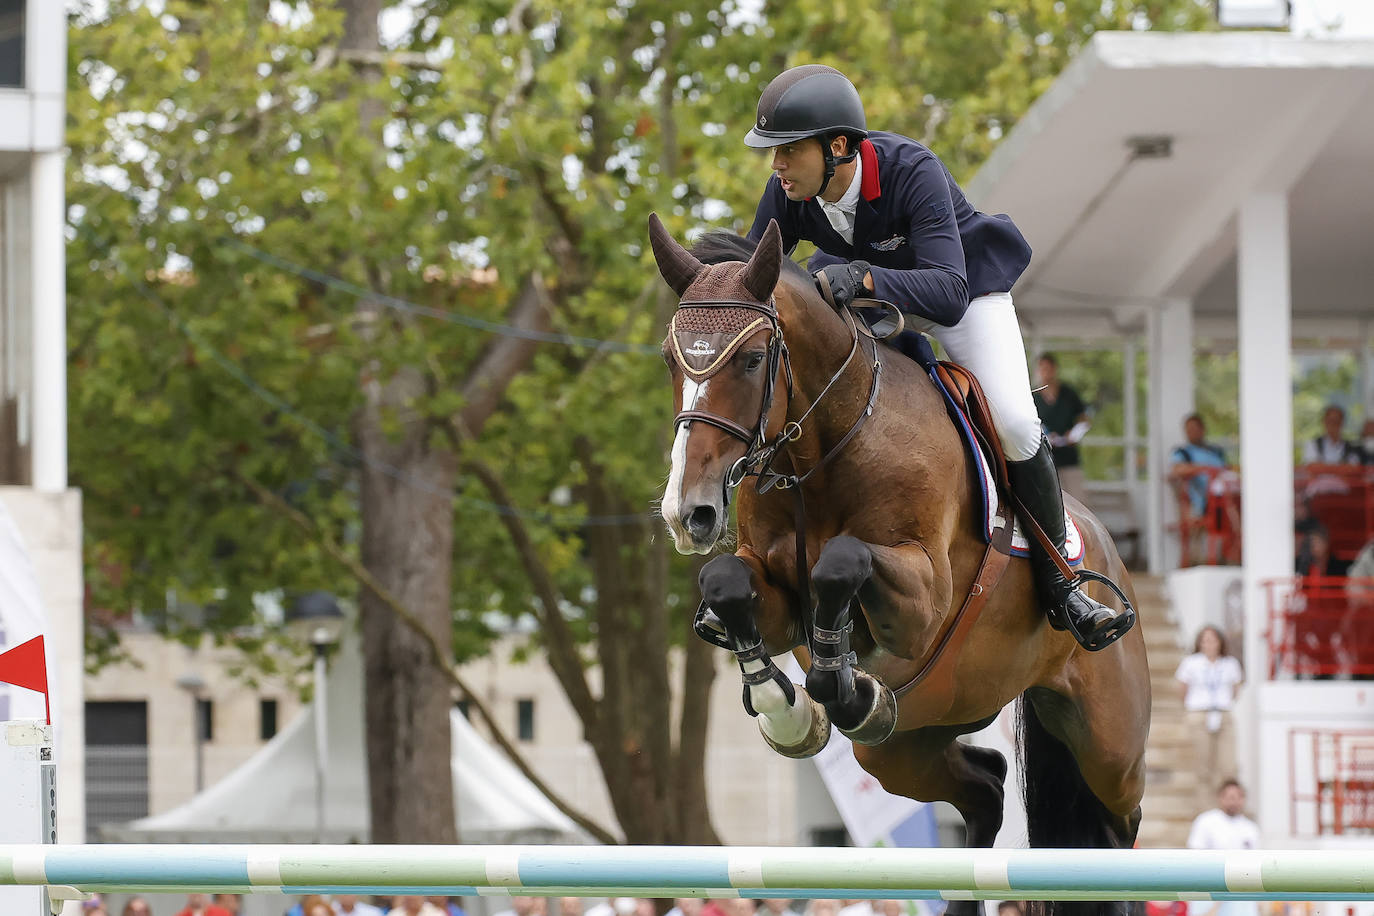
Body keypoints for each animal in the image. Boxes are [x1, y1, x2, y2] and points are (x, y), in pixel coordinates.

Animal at [648, 215, 1154, 916]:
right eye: (672, 360)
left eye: (750, 360)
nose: (687, 512)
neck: (824, 449)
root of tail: (1110, 548)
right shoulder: (772, 593)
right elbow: (726, 583)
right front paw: (789, 708)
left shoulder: (925, 597)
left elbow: (842, 560)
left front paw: (837, 682)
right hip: (907, 742)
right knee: (985, 789)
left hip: (1109, 747)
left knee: (1117, 829)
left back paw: (1078, 607)